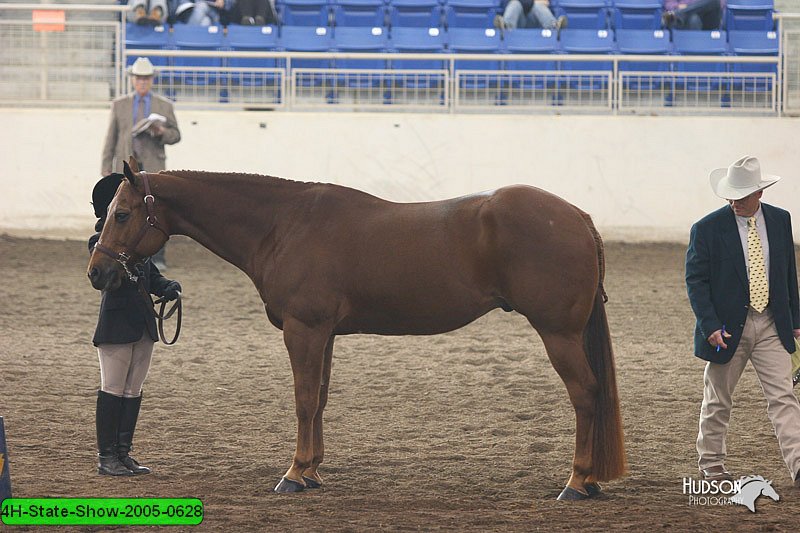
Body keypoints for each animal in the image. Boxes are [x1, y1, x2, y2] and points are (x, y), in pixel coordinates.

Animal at [86, 158, 624, 498]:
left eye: (123, 213)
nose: (97, 272)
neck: (283, 225)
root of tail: (577, 216)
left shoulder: (303, 330)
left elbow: (304, 400)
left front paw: (293, 474)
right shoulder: (323, 334)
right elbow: (320, 399)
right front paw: (312, 471)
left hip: (558, 334)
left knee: (585, 393)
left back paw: (578, 482)